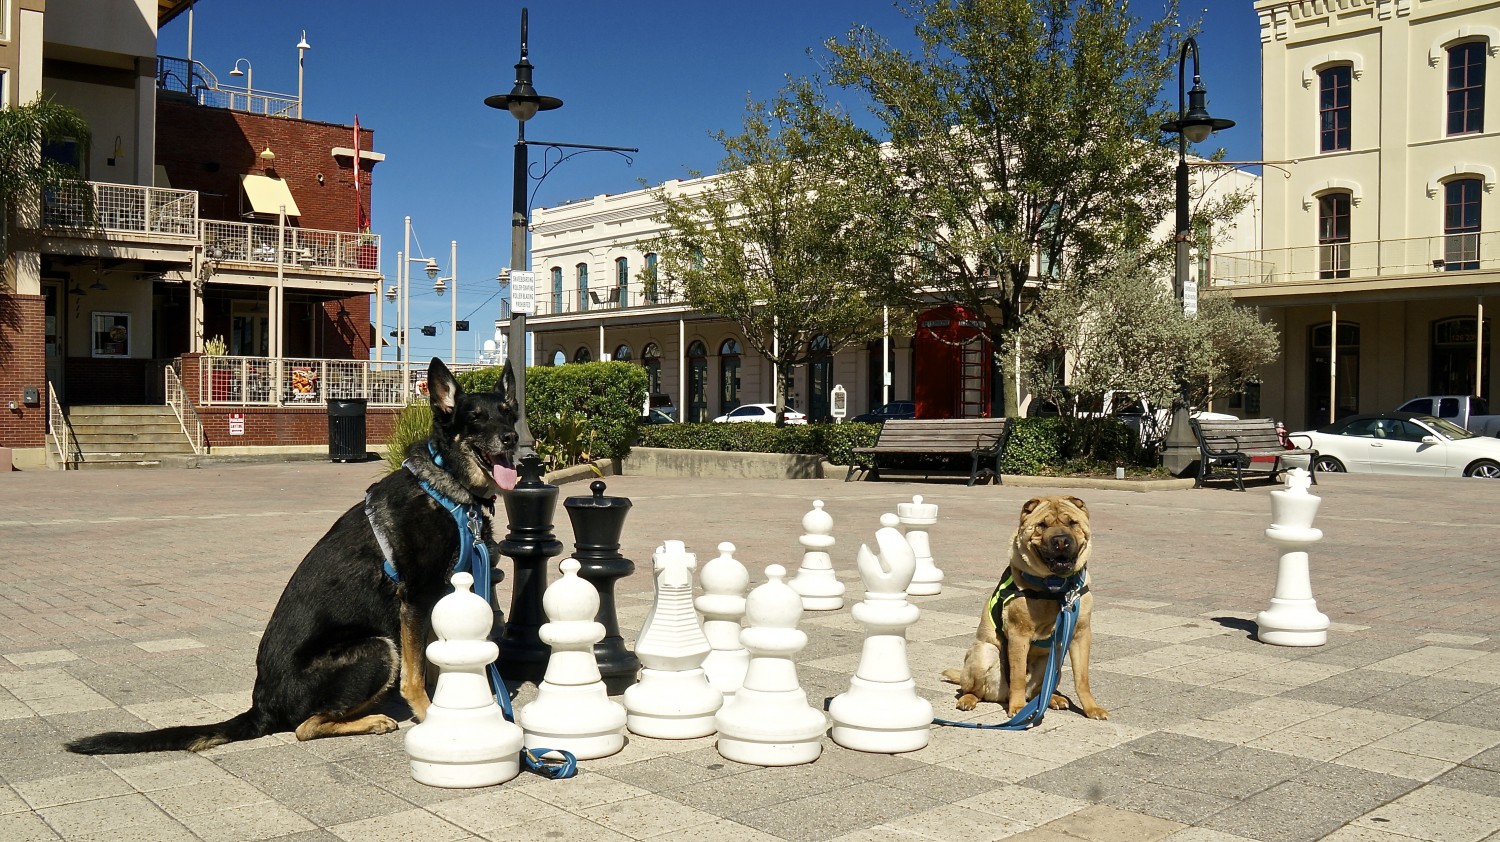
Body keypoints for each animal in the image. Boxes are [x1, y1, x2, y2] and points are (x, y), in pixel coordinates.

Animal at [942, 495, 1110, 720]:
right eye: (1042, 525)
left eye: (1072, 523)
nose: (1061, 541)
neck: (1056, 588)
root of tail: (1001, 696)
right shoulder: (1018, 634)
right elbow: (1018, 676)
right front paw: (1018, 708)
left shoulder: (1081, 634)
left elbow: (1082, 678)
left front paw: (1091, 708)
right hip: (984, 652)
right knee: (973, 689)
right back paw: (969, 700)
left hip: (1053, 662)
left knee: (1039, 691)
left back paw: (1053, 698)